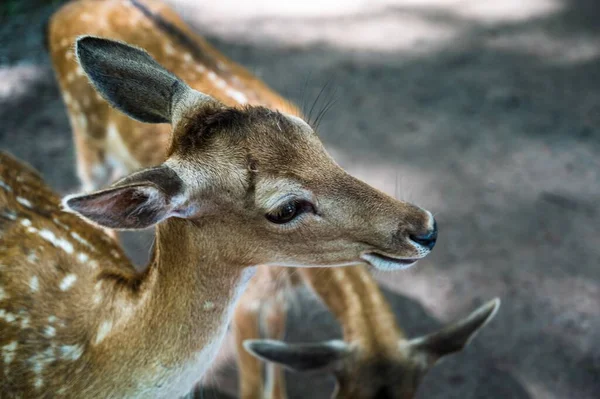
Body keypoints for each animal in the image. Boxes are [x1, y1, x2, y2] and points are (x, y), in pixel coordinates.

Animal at [45, 1, 460, 398]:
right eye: (285, 209)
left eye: (313, 138)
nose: (426, 229)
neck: (294, 275)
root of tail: (60, 13)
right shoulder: (250, 299)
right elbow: (250, 383)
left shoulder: (276, 299)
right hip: (88, 147)